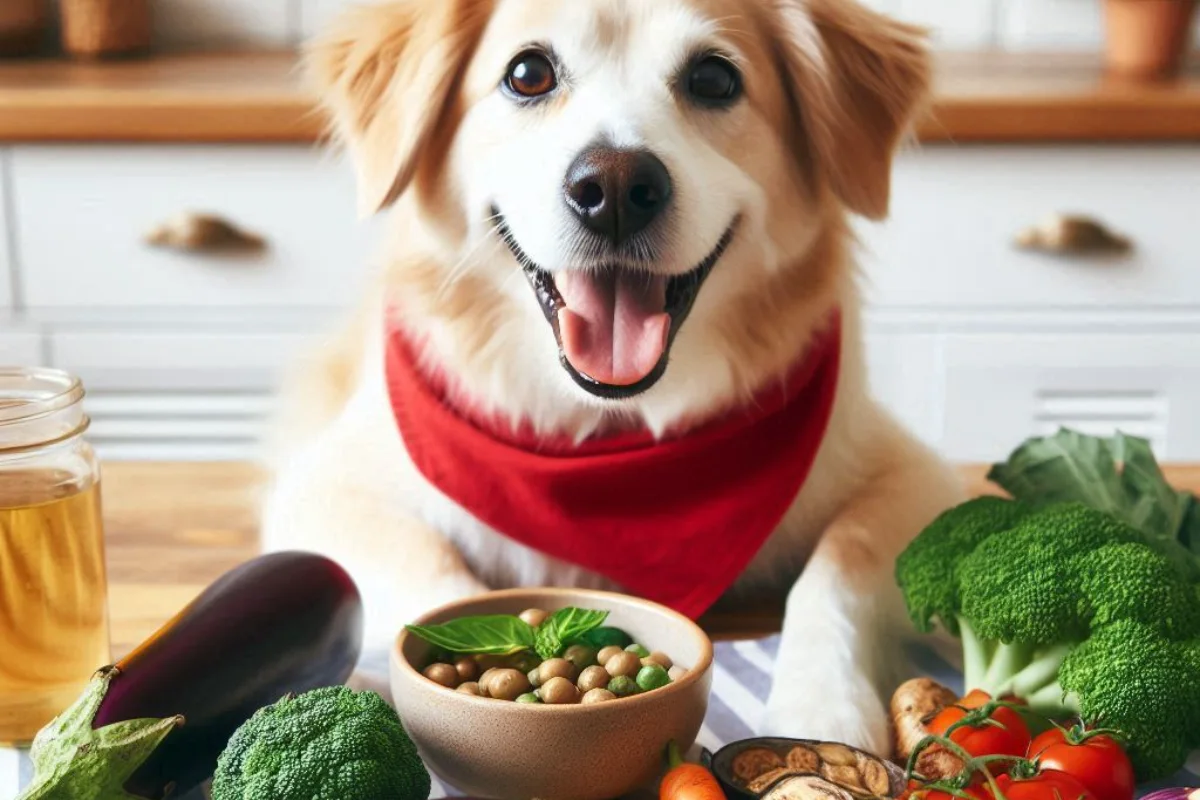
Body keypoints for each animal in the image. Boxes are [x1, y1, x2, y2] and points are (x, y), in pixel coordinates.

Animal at [262, 0, 964, 758]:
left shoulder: (921, 480)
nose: (616, 188)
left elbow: (838, 564)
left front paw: (820, 704)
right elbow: (440, 576)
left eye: (714, 79)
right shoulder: (324, 491)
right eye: (528, 73)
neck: (609, 432)